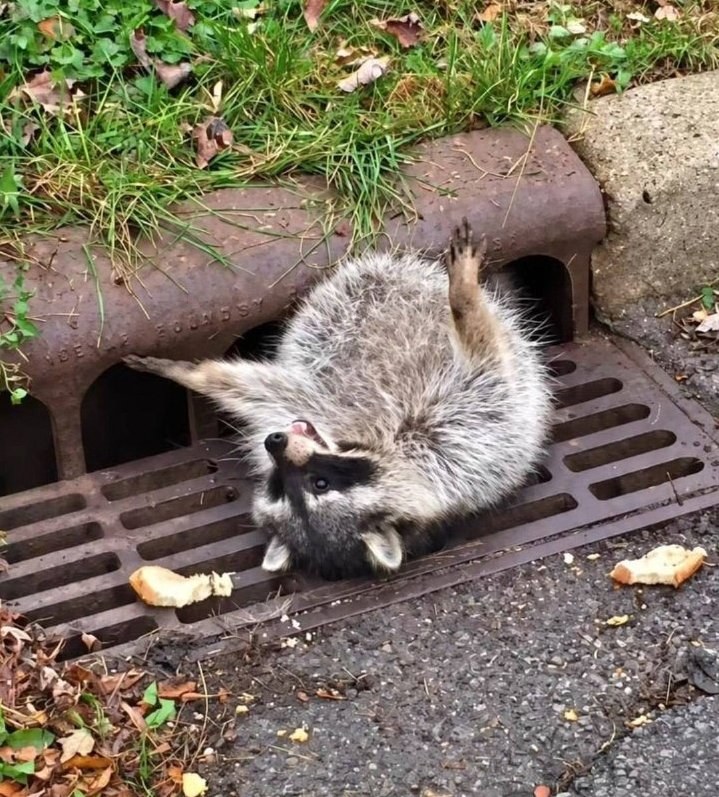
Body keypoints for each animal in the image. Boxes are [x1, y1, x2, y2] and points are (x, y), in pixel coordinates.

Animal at [124, 219, 553, 581]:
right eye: (282, 488)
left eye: (319, 483)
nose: (273, 442)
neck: (378, 443)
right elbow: (259, 388)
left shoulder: (461, 429)